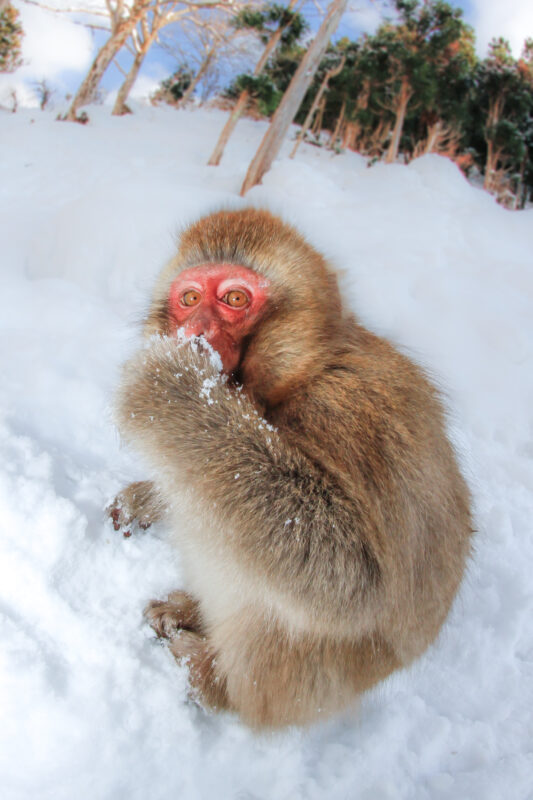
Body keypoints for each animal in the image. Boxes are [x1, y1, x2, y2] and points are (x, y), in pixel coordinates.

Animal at [109, 208, 472, 729]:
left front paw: (172, 388)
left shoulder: (349, 410)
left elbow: (352, 574)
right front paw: (145, 498)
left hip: (307, 681)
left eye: (235, 298)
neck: (291, 382)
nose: (193, 332)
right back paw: (191, 611)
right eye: (190, 298)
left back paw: (209, 679)